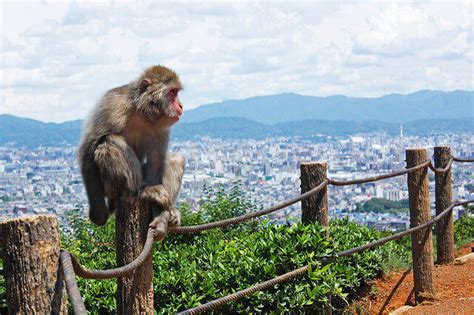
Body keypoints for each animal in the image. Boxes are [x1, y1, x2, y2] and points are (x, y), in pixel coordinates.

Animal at [77, 65, 184, 241]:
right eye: (172, 93)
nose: (181, 106)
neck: (141, 112)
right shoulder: (112, 106)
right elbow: (88, 150)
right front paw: (99, 215)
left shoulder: (161, 127)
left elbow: (156, 162)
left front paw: (160, 219)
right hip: (109, 187)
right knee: (109, 141)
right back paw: (139, 192)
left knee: (176, 159)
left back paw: (168, 211)